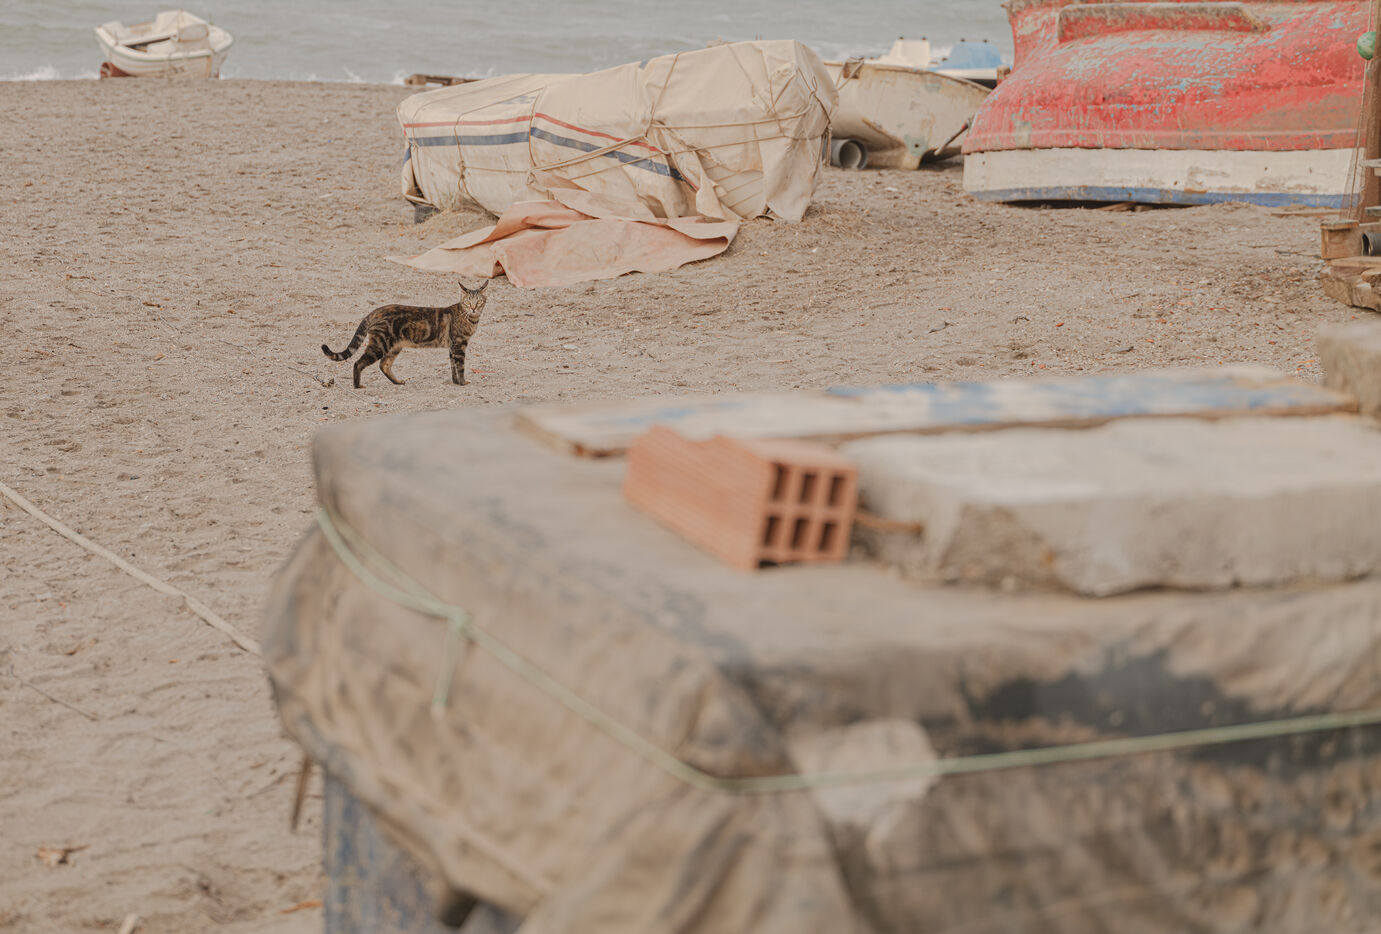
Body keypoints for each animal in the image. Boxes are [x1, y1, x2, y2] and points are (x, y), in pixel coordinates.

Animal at [322, 281, 487, 389]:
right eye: (468, 302)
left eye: (479, 301)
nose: (473, 308)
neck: (469, 318)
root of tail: (376, 311)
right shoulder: (459, 345)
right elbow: (460, 367)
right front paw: (462, 383)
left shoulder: (453, 347)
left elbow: (453, 367)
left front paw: (455, 382)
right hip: (380, 344)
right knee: (358, 363)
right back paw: (358, 385)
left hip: (394, 346)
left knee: (384, 365)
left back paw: (398, 382)